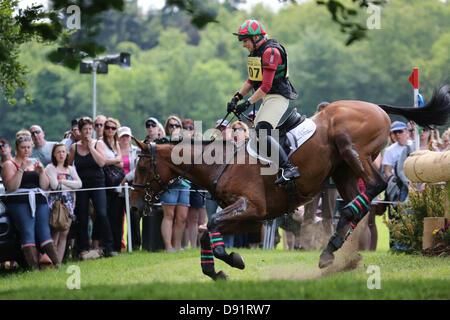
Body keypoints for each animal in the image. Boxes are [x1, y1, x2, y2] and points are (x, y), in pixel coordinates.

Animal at [130, 84, 450, 280]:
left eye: (143, 166)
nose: (133, 207)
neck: (220, 163)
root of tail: (377, 106)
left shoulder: (251, 207)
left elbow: (211, 226)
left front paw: (231, 259)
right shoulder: (248, 217)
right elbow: (207, 232)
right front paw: (216, 271)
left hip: (351, 148)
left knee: (375, 185)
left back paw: (335, 235)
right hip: (342, 169)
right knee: (360, 203)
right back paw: (330, 248)